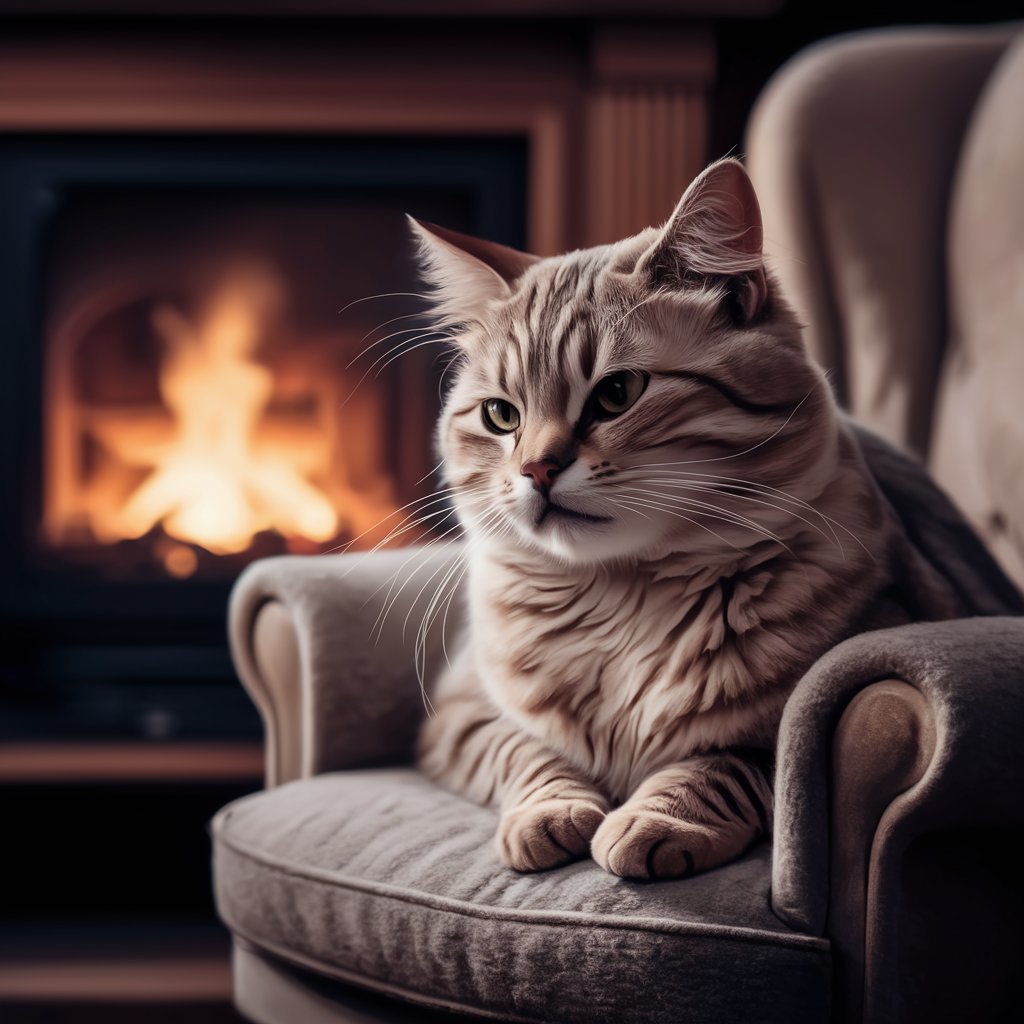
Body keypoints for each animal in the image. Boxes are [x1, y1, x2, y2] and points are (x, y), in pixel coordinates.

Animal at [409, 159, 958, 880]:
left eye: (617, 394)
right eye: (502, 416)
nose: (536, 470)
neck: (620, 599)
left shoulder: (791, 736)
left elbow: (724, 762)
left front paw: (659, 817)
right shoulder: (458, 713)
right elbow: (525, 752)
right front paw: (550, 812)